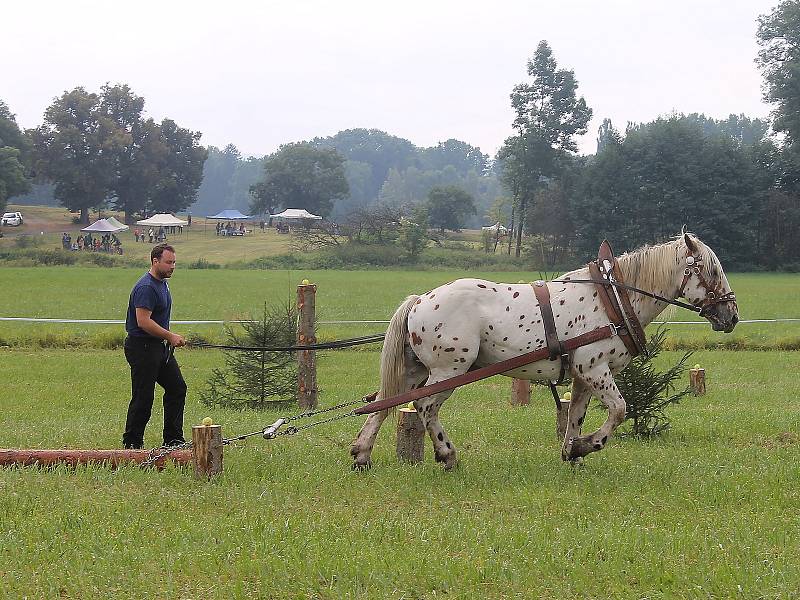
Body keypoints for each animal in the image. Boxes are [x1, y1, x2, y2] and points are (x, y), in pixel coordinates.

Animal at [354, 232, 740, 472]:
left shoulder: (584, 377)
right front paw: (587, 446)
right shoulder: (596, 370)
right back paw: (447, 455)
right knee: (424, 407)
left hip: (416, 370)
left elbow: (575, 417)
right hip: (449, 370)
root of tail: (420, 299)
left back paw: (361, 455)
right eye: (711, 269)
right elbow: (618, 410)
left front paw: (573, 452)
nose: (732, 315)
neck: (614, 299)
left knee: (384, 403)